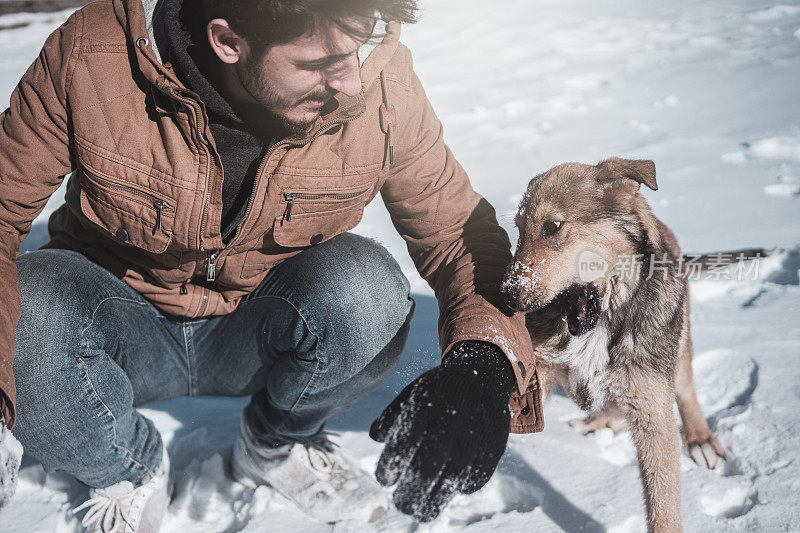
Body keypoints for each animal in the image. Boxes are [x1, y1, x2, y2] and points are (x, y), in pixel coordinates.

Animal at [504, 158, 728, 532]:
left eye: (552, 227)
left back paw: (699, 438)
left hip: (677, 345)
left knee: (685, 388)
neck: (601, 325)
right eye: (518, 231)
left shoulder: (653, 413)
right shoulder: (538, 371)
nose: (505, 297)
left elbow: (663, 507)